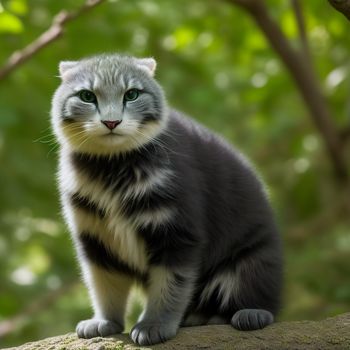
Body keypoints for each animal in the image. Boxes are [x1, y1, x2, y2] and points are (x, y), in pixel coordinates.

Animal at [50, 53, 284, 346]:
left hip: (252, 264)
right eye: (87, 96)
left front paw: (155, 324)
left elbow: (169, 287)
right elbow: (104, 286)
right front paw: (105, 321)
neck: (112, 166)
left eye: (132, 94)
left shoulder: (176, 234)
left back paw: (248, 313)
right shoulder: (96, 241)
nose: (111, 123)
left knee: (260, 299)